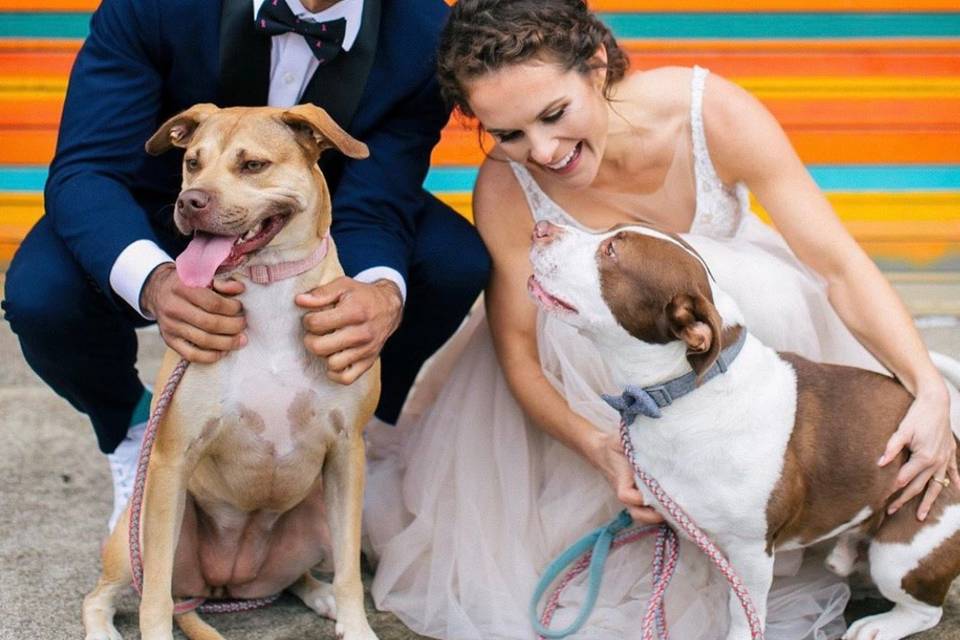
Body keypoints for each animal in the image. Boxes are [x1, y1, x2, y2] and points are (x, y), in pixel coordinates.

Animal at [82, 105, 380, 640]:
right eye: (192, 163)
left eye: (253, 165)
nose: (190, 201)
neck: (268, 287)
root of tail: (223, 586)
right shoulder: (173, 458)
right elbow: (154, 596)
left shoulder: (348, 452)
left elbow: (349, 571)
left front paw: (355, 624)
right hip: (142, 524)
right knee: (110, 594)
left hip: (316, 519)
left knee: (296, 578)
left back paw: (320, 594)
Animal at [524, 221, 960, 640]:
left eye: (611, 251)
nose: (541, 226)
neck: (684, 394)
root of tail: (951, 440)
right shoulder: (685, 528)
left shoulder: (750, 553)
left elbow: (742, 610)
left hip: (898, 556)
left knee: (926, 610)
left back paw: (880, 625)